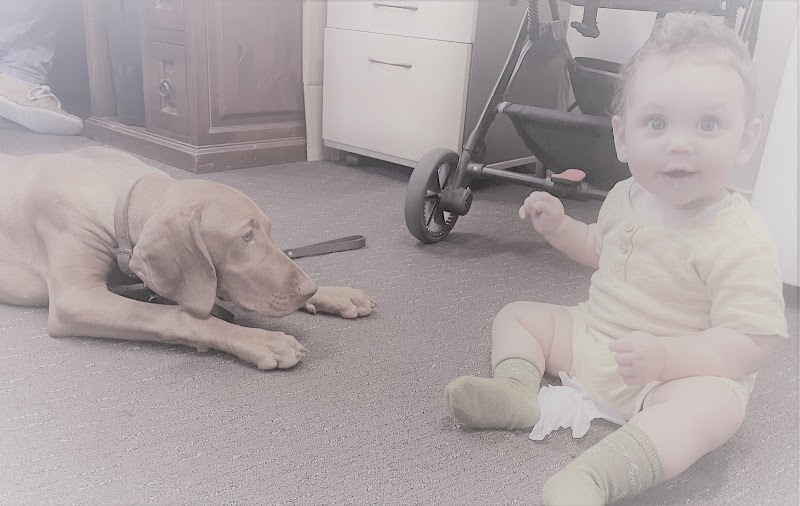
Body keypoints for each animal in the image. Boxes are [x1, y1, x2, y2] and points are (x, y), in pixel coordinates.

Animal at [0, 145, 376, 368]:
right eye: (245, 236)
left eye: (269, 231)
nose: (308, 290)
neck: (120, 195)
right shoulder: (77, 299)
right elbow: (183, 316)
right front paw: (259, 338)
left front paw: (335, 294)